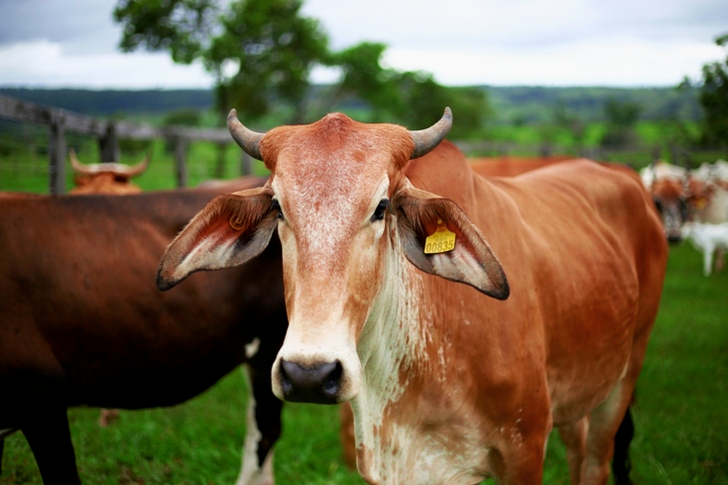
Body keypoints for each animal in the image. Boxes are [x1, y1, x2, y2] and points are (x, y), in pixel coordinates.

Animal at [157, 108, 667, 485]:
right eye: (279, 207)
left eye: (381, 207)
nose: (309, 374)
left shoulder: (525, 448)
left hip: (624, 378)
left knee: (596, 461)